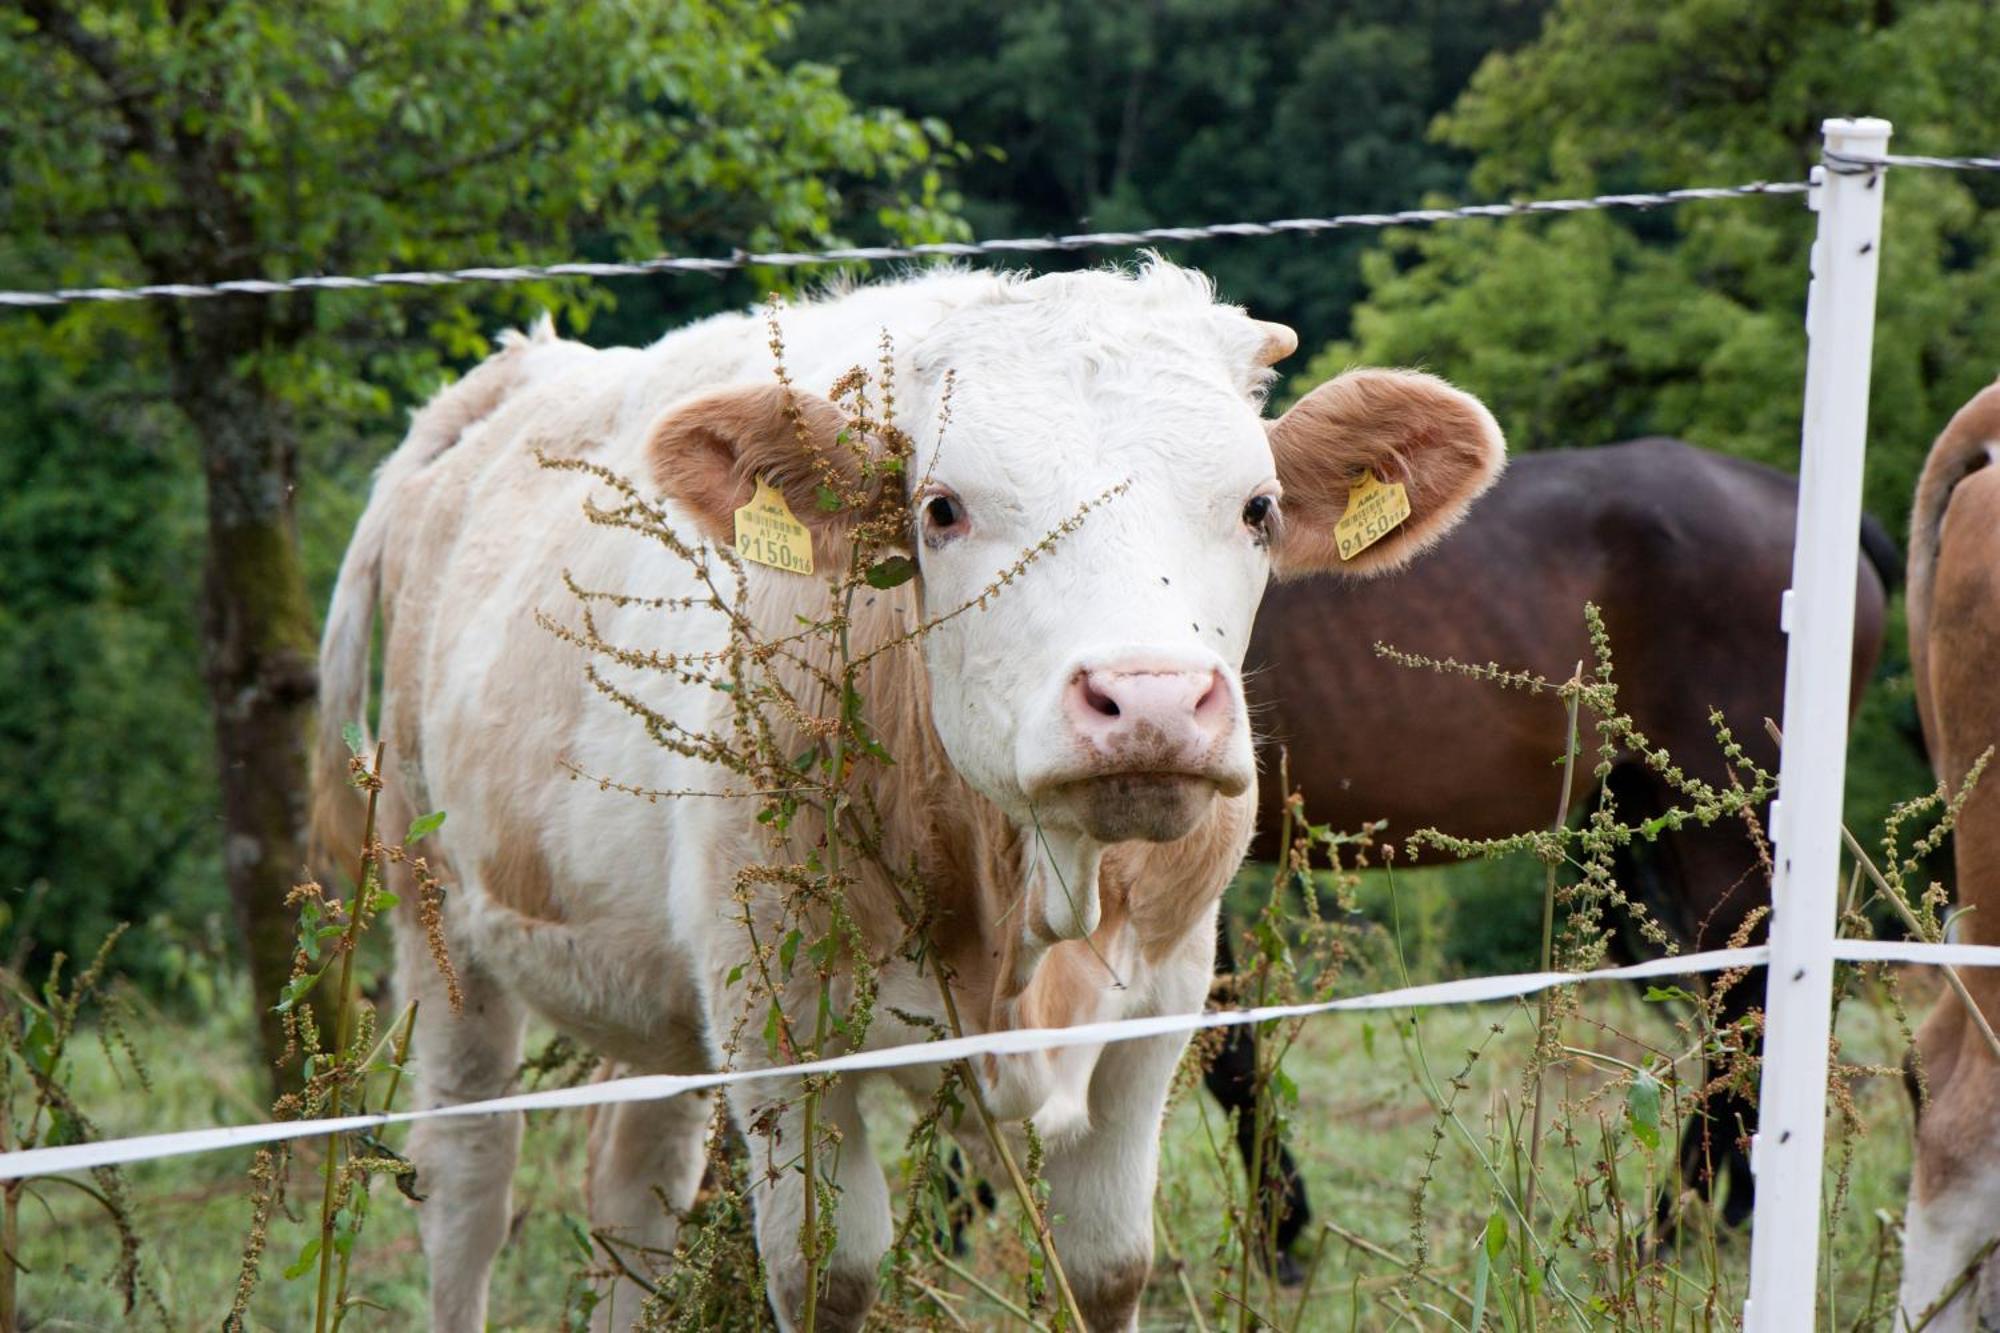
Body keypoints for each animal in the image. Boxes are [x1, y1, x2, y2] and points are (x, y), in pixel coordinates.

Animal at [312, 254, 1504, 1320]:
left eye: (1257, 506)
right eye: (941, 508)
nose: (1152, 699)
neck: (1024, 910)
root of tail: (521, 368)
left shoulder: (1157, 1004)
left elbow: (1110, 1265)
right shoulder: (779, 1022)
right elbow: (826, 1272)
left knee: (631, 1188)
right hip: (438, 917)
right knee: (469, 1180)